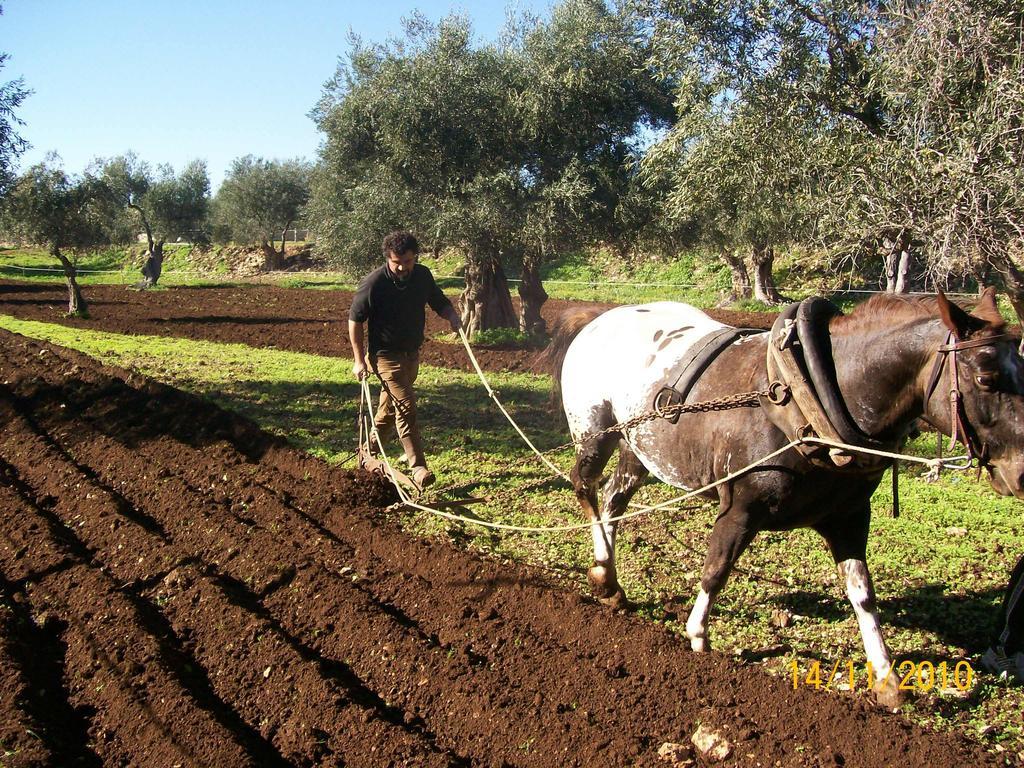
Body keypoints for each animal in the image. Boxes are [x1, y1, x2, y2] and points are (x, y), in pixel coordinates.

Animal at [548, 290, 1024, 708]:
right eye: (986, 378)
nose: (1020, 473)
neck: (809, 399)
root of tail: (598, 320)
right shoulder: (739, 510)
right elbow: (716, 570)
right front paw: (698, 634)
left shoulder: (850, 518)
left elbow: (862, 593)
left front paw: (886, 676)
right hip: (595, 433)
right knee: (586, 488)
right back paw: (602, 571)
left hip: (640, 446)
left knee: (614, 499)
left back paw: (609, 580)